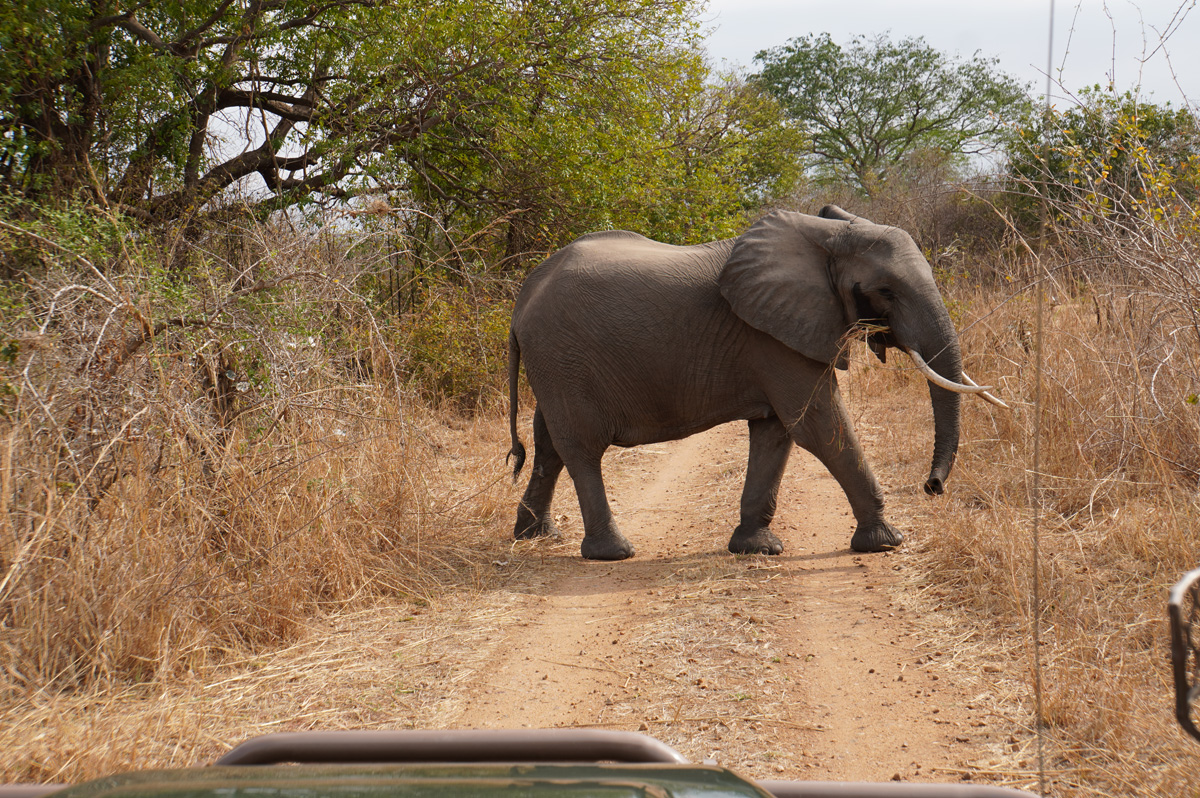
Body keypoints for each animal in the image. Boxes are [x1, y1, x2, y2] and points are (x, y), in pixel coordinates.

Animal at [505, 206, 1005, 561]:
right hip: (563, 358)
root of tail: (523, 296)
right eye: (887, 291)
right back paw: (612, 553)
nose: (932, 487)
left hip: (554, 365)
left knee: (547, 444)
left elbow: (777, 432)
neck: (827, 236)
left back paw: (536, 535)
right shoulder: (772, 338)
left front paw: (757, 548)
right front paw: (885, 542)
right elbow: (819, 425)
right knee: (581, 448)